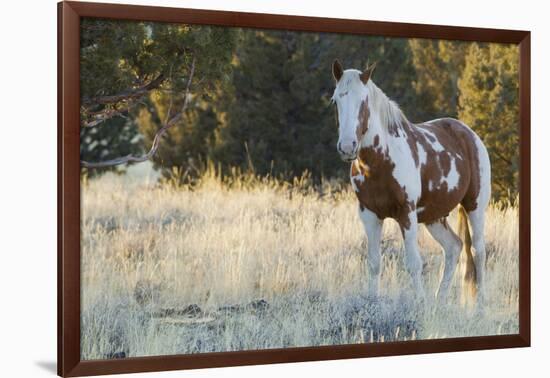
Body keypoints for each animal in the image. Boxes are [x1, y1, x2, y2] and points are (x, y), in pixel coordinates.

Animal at [332, 59, 492, 308]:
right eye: (336, 100)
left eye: (364, 101)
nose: (347, 147)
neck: (381, 161)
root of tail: (469, 134)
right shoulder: (369, 215)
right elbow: (374, 264)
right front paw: (372, 304)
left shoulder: (406, 214)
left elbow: (413, 264)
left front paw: (419, 304)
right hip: (434, 216)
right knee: (454, 247)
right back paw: (439, 302)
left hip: (475, 206)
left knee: (479, 250)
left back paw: (480, 307)